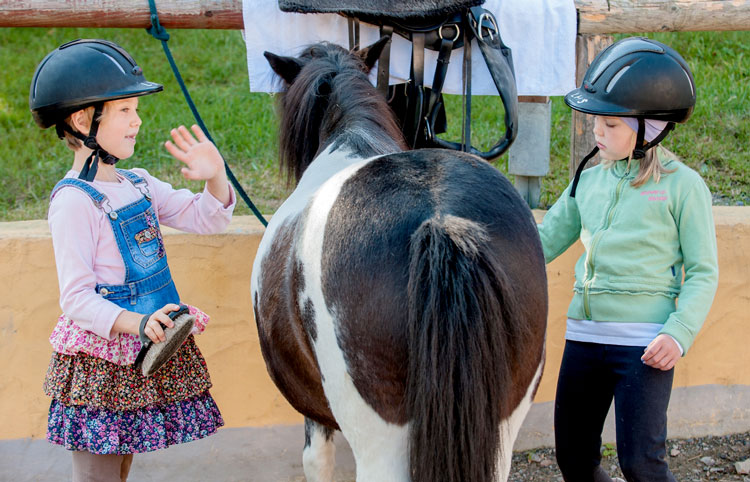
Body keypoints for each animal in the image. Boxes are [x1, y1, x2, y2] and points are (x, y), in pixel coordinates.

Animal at [250, 38, 548, 482]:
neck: (349, 139)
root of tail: (440, 221)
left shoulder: (315, 417)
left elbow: (316, 461)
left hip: (381, 444)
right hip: (501, 428)